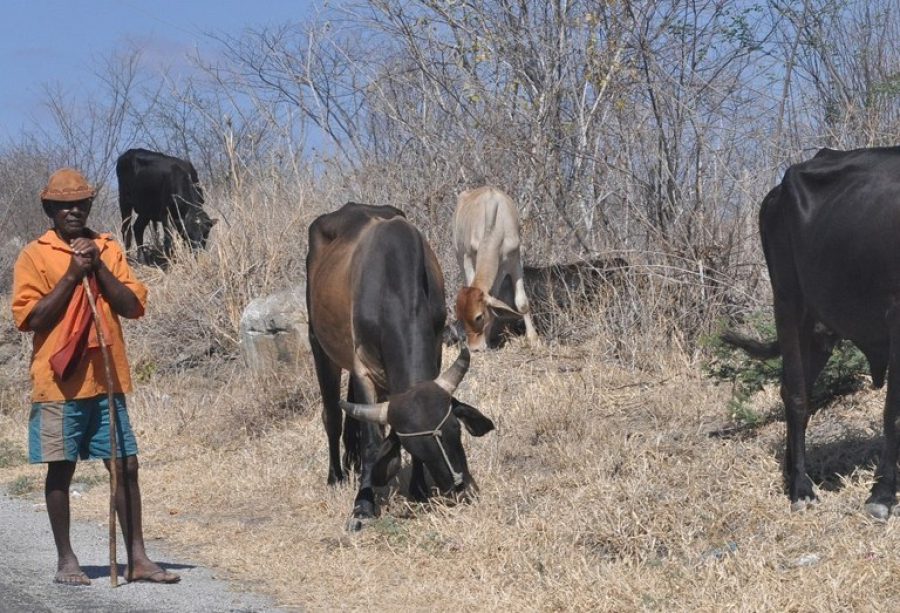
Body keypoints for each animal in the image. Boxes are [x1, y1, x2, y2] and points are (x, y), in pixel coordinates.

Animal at [306, 203, 496, 528]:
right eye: (417, 447)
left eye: (455, 430)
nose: (462, 488)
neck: (391, 287)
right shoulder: (364, 369)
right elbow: (372, 442)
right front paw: (363, 505)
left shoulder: (434, 350)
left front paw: (418, 489)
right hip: (319, 345)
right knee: (332, 415)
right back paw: (336, 476)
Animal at [454, 185, 536, 350]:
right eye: (460, 317)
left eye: (478, 316)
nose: (474, 348)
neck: (496, 228)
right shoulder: (467, 257)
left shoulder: (513, 260)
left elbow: (521, 302)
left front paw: (533, 338)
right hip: (458, 254)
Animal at [748, 147, 900, 516]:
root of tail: (776, 193)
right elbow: (893, 410)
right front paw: (882, 494)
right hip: (788, 302)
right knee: (797, 394)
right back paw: (801, 488)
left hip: (818, 329)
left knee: (791, 386)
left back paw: (791, 474)